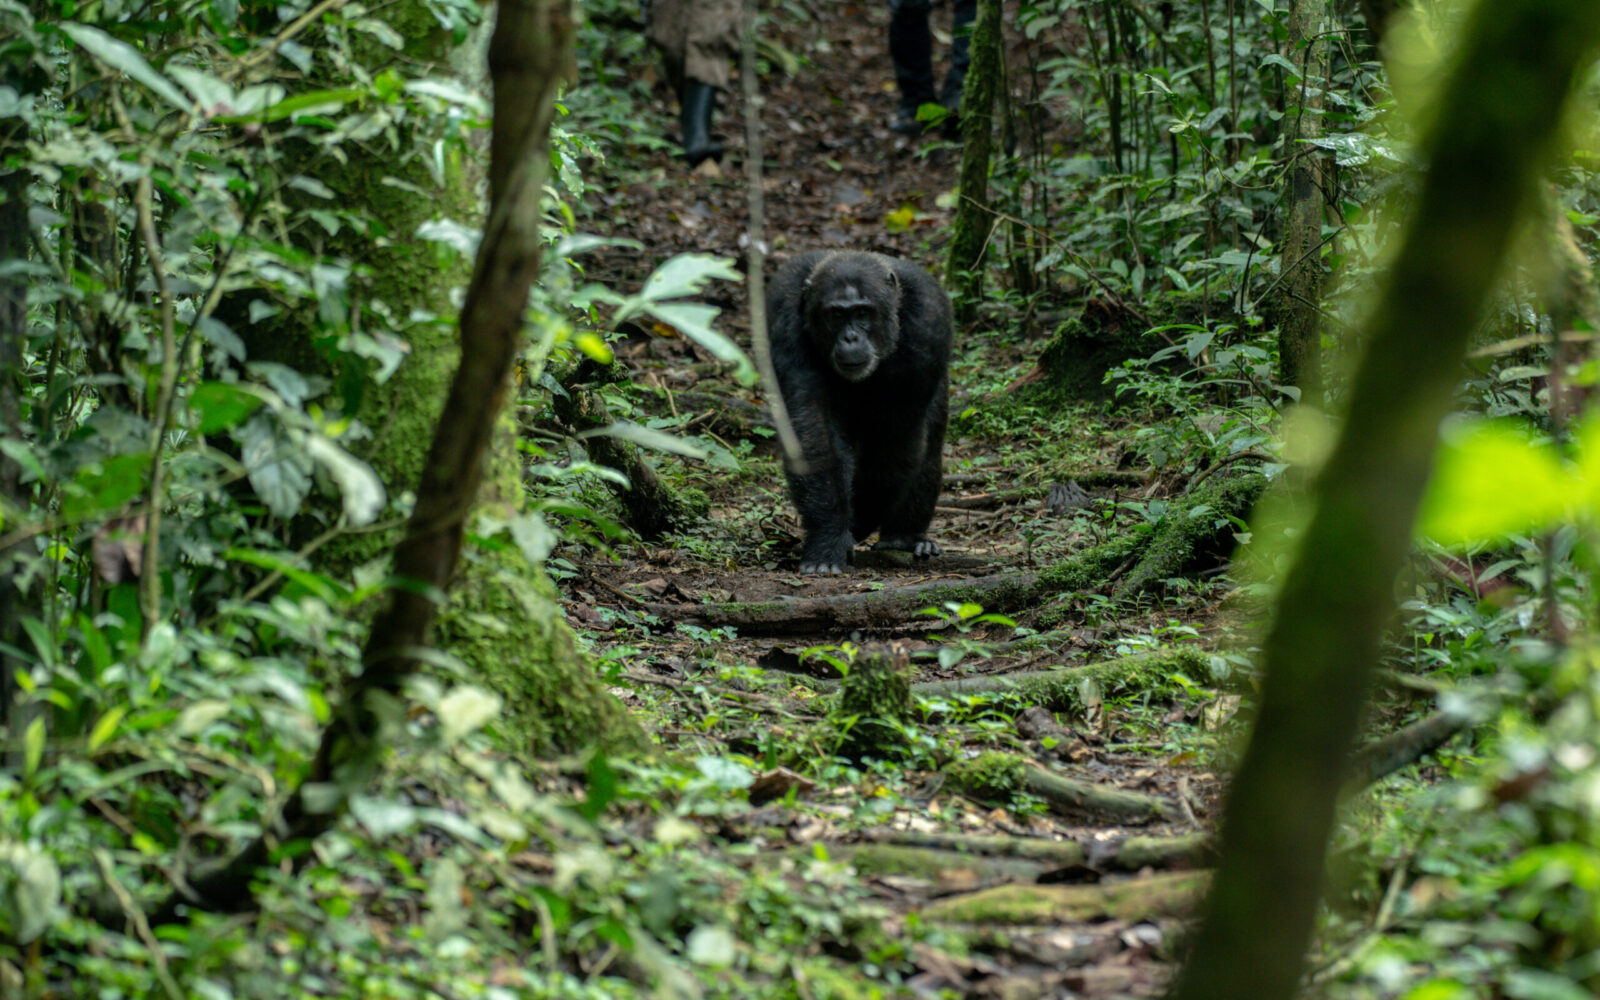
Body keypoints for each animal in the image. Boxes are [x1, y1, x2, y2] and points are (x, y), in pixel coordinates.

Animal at [766, 250, 953, 574]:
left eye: (863, 313)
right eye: (837, 315)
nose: (850, 338)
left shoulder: (929, 321)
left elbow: (893, 437)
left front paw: (857, 524)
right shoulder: (783, 313)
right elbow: (813, 426)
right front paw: (829, 537)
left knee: (927, 448)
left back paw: (904, 537)